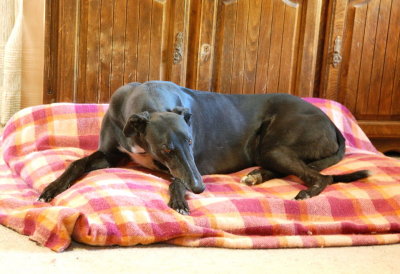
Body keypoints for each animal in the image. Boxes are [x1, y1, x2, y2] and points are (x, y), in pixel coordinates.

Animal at [38, 81, 368, 214]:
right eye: (166, 148)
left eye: (190, 141)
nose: (200, 188)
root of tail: (334, 125)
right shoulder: (111, 154)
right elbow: (76, 163)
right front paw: (50, 189)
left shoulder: (189, 165)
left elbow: (176, 180)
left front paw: (179, 201)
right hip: (270, 150)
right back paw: (256, 176)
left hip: (276, 145)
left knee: (321, 177)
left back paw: (304, 192)